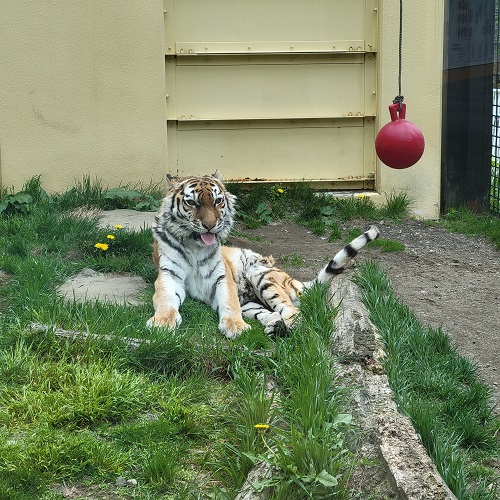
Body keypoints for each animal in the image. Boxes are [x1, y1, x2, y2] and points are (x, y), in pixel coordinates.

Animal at [147, 170, 378, 338]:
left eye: (217, 201)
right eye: (192, 203)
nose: (211, 226)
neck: (195, 245)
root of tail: (290, 279)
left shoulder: (222, 278)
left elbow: (229, 303)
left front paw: (236, 326)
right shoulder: (169, 275)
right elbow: (166, 299)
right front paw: (162, 322)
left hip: (261, 275)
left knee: (291, 310)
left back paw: (292, 326)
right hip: (250, 303)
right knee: (271, 312)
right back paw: (276, 327)